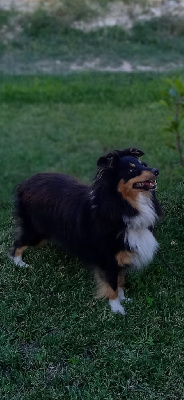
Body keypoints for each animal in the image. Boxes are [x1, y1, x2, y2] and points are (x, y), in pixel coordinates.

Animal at [9, 147, 161, 316]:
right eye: (131, 170)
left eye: (144, 164)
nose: (156, 171)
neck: (119, 206)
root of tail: (26, 183)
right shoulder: (108, 259)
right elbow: (112, 285)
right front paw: (116, 308)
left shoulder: (122, 256)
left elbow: (120, 281)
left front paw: (124, 299)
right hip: (36, 232)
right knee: (17, 244)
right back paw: (19, 263)